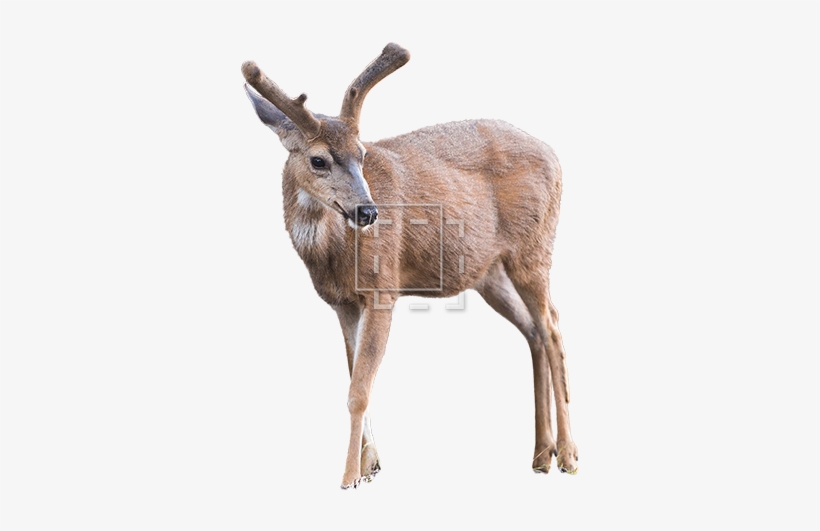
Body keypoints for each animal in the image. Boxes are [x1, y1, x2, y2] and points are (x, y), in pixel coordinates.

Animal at [241, 43, 578, 489]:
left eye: (363, 153)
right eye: (318, 160)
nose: (368, 211)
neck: (332, 253)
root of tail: (556, 156)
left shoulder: (383, 288)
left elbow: (359, 390)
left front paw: (348, 477)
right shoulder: (341, 302)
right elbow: (353, 374)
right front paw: (370, 467)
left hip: (534, 249)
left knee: (553, 326)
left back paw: (569, 456)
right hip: (490, 273)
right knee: (534, 331)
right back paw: (541, 454)